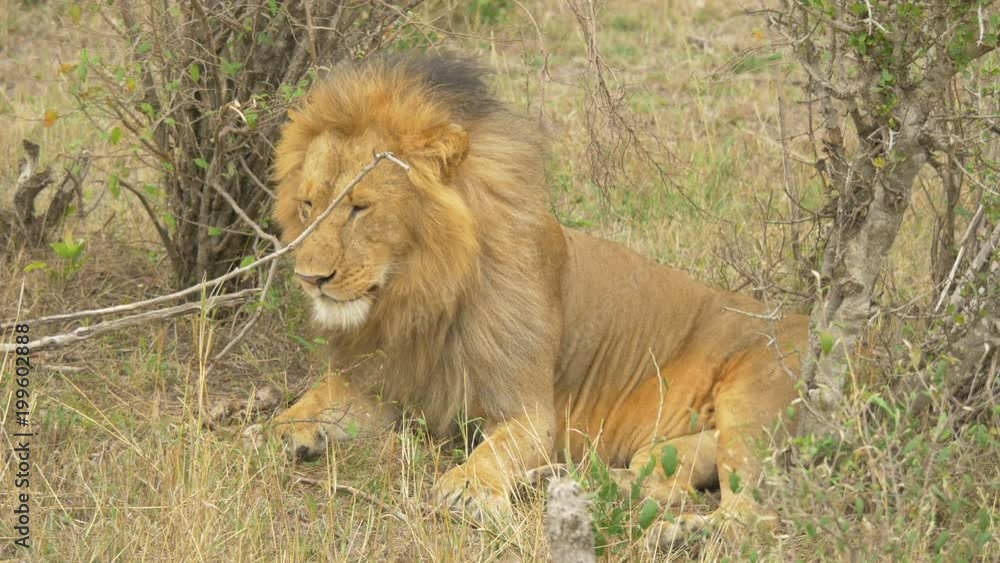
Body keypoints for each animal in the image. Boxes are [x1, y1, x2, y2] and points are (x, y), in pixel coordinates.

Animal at [270, 54, 807, 546]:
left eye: (360, 208)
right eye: (308, 204)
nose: (310, 278)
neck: (420, 296)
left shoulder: (529, 411)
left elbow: (497, 450)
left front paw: (468, 487)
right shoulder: (384, 384)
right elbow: (315, 400)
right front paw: (283, 430)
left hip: (751, 403)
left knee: (753, 518)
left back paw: (680, 534)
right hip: (680, 446)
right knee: (658, 483)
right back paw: (564, 483)